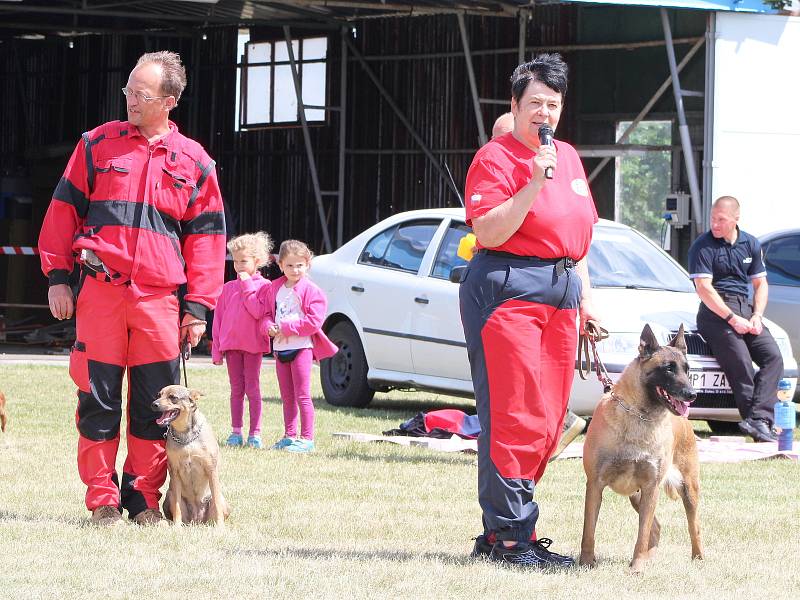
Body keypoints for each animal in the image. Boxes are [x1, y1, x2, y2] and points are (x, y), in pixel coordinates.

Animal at [152, 386, 230, 528]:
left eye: (173, 397)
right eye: (159, 395)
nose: (153, 404)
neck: (186, 436)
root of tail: (197, 520)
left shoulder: (211, 469)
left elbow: (217, 504)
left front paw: (220, 527)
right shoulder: (175, 472)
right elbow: (177, 507)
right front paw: (177, 527)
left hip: (222, 501)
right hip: (169, 496)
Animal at [580, 326, 704, 576]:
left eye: (687, 369)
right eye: (668, 368)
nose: (692, 394)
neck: (639, 415)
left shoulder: (651, 488)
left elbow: (642, 534)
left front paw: (636, 567)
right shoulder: (595, 485)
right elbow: (589, 530)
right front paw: (586, 562)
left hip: (688, 490)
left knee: (693, 526)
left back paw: (697, 559)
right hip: (637, 497)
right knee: (657, 527)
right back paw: (650, 558)